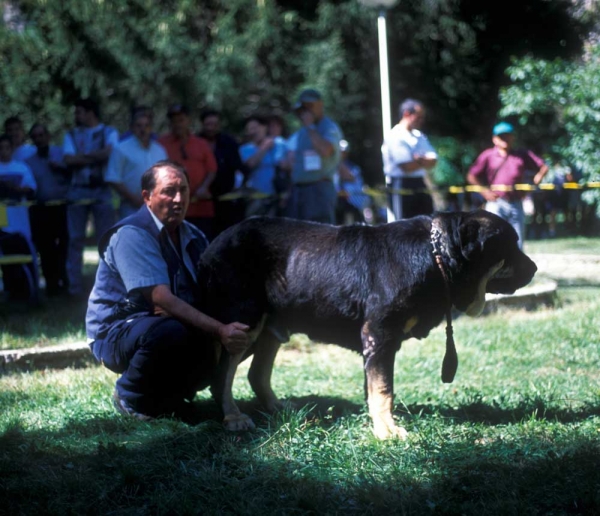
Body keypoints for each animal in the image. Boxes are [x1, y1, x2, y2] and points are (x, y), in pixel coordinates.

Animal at [199, 210, 536, 440]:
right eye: (509, 247)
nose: (533, 268)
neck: (436, 256)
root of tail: (212, 244)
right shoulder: (380, 333)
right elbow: (384, 388)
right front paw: (387, 430)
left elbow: (374, 388)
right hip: (245, 321)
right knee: (222, 374)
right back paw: (233, 417)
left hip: (272, 326)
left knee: (256, 374)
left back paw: (281, 409)